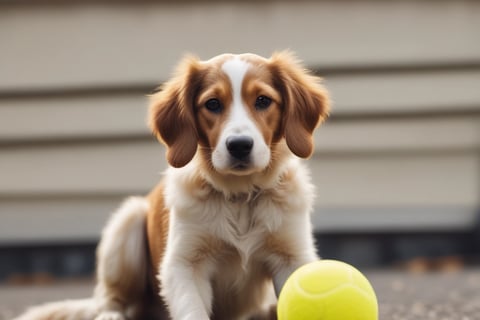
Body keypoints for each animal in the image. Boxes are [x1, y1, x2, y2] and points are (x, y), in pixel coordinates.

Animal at [15, 51, 330, 320]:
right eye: (212, 104)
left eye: (263, 101)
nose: (239, 146)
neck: (239, 196)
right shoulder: (183, 265)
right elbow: (192, 310)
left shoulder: (293, 256)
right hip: (127, 225)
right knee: (110, 298)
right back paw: (110, 315)